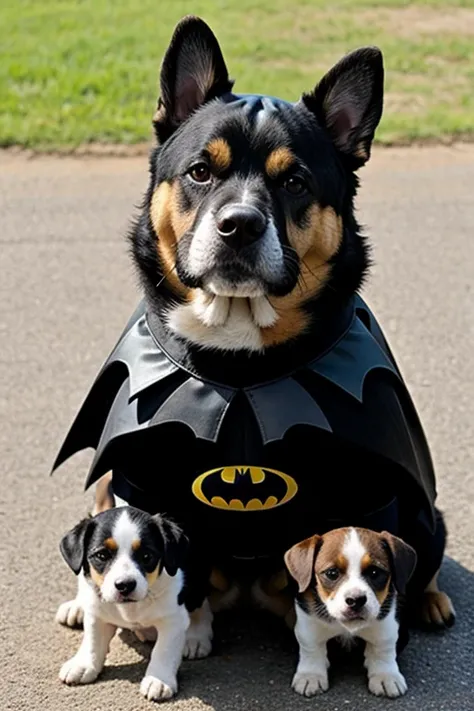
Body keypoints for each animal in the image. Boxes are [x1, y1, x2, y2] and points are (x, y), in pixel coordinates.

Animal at [52, 12, 456, 668]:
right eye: (200, 171)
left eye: (294, 180)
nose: (238, 224)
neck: (239, 362)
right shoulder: (139, 478)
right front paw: (184, 630)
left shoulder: (373, 488)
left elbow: (382, 558)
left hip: (424, 508)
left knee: (425, 554)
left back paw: (433, 599)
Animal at [56, 508, 189, 704]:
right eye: (102, 555)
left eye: (146, 556)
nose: (125, 585)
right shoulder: (97, 614)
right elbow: (93, 640)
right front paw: (84, 664)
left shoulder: (174, 619)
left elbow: (163, 650)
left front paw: (158, 679)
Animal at [284, 528, 416, 700]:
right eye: (332, 573)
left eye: (375, 572)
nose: (356, 600)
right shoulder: (307, 619)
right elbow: (311, 648)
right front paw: (310, 675)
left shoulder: (385, 620)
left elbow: (382, 648)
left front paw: (385, 675)